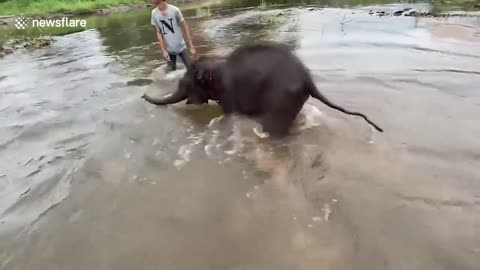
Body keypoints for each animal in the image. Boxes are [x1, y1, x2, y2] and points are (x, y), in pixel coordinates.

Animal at [142, 42, 382, 137]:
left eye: (185, 85)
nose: (143, 94)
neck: (214, 65)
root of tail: (309, 80)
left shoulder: (229, 96)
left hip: (281, 99)